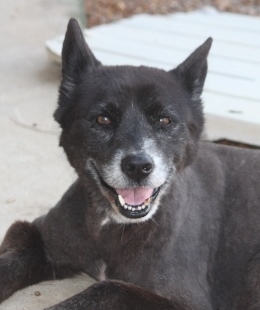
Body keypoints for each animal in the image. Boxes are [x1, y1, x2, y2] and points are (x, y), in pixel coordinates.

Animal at [0, 19, 260, 310]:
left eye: (165, 120)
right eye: (102, 119)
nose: (137, 166)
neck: (110, 224)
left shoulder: (185, 302)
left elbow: (109, 288)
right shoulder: (35, 233)